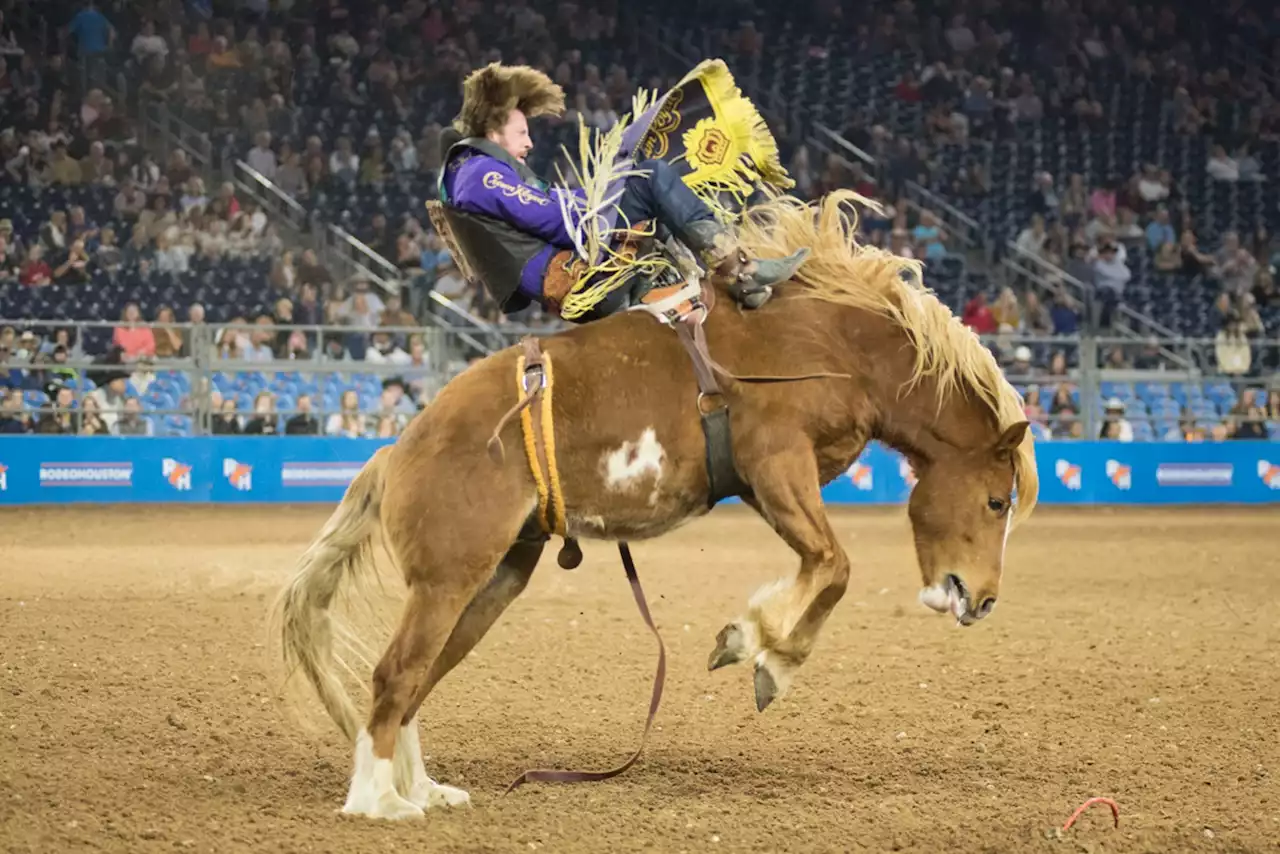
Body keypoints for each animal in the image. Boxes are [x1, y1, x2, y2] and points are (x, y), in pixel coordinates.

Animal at [272, 192, 1039, 819]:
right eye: (996, 501)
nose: (984, 599)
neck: (830, 343)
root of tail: (398, 450)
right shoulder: (775, 460)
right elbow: (834, 564)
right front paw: (757, 653)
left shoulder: (766, 484)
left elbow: (823, 565)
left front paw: (759, 649)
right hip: (447, 579)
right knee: (395, 673)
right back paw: (379, 802)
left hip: (494, 578)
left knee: (417, 682)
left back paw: (423, 788)